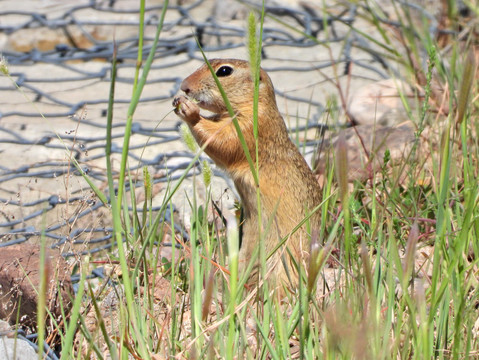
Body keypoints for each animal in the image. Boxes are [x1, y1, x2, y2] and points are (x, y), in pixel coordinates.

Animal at [173, 59, 322, 290]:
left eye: (224, 70)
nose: (184, 87)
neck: (256, 104)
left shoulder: (248, 127)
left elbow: (221, 141)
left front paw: (190, 111)